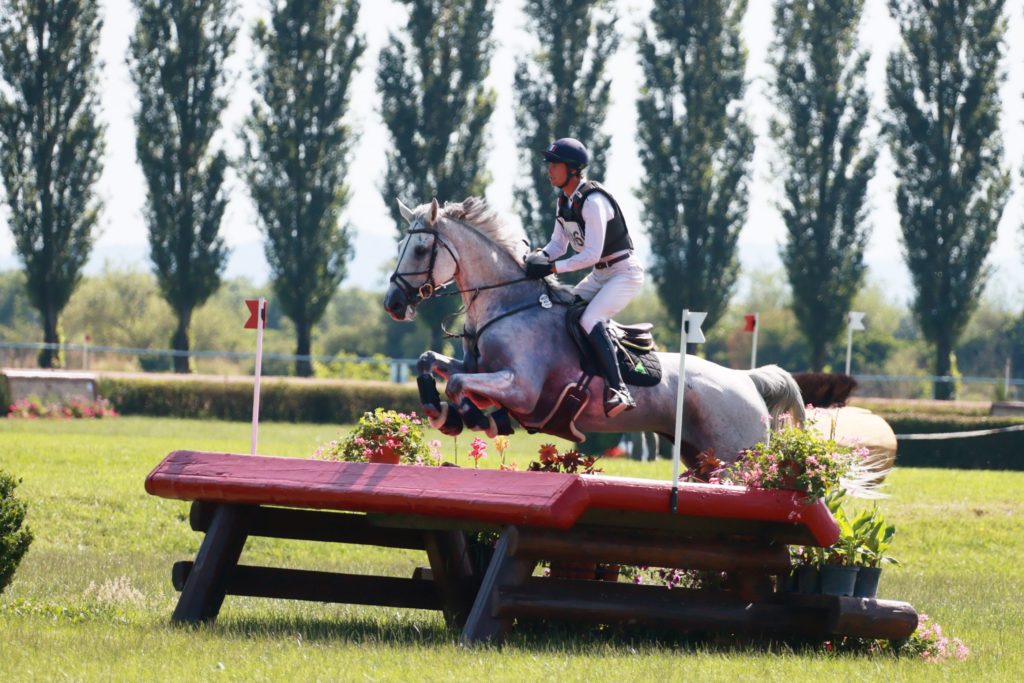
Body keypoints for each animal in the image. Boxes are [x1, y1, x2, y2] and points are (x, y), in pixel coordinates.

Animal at [380, 196, 802, 464]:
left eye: (420, 249)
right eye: (400, 244)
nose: (393, 305)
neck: (507, 304)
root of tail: (747, 379)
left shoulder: (523, 389)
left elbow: (457, 384)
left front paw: (472, 417)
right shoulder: (479, 369)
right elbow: (430, 361)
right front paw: (442, 412)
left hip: (735, 458)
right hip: (702, 458)